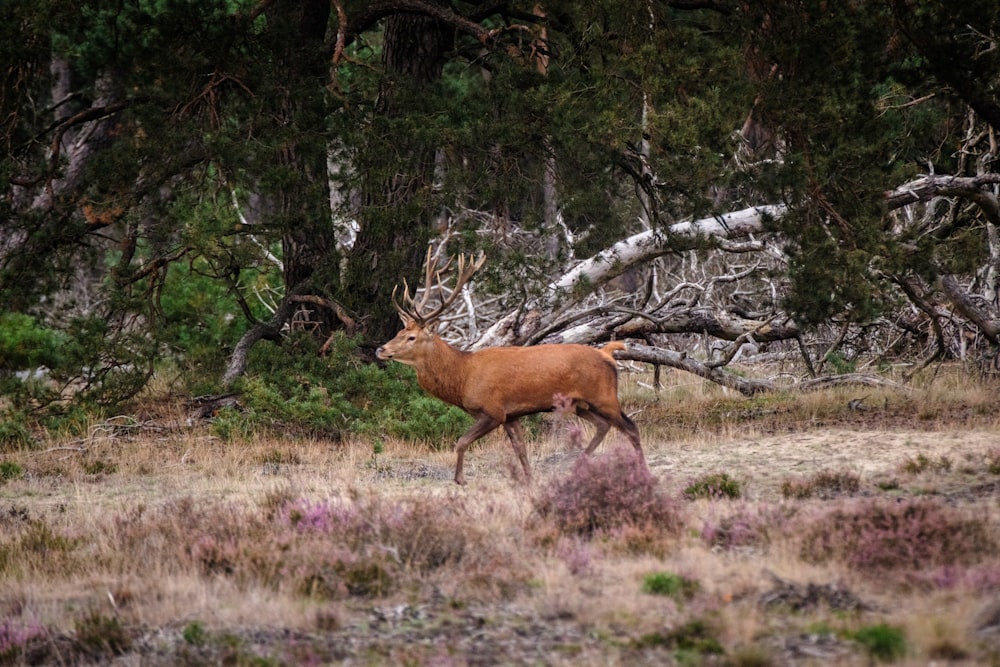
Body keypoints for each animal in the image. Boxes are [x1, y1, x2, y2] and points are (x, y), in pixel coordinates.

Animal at [376, 250, 648, 486]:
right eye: (400, 332)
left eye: (411, 337)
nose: (381, 349)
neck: (463, 376)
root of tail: (607, 354)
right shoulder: (511, 414)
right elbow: (521, 448)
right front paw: (529, 479)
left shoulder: (493, 410)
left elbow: (461, 441)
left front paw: (460, 479)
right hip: (581, 404)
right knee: (603, 426)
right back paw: (578, 466)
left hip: (604, 396)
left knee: (631, 428)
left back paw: (642, 470)